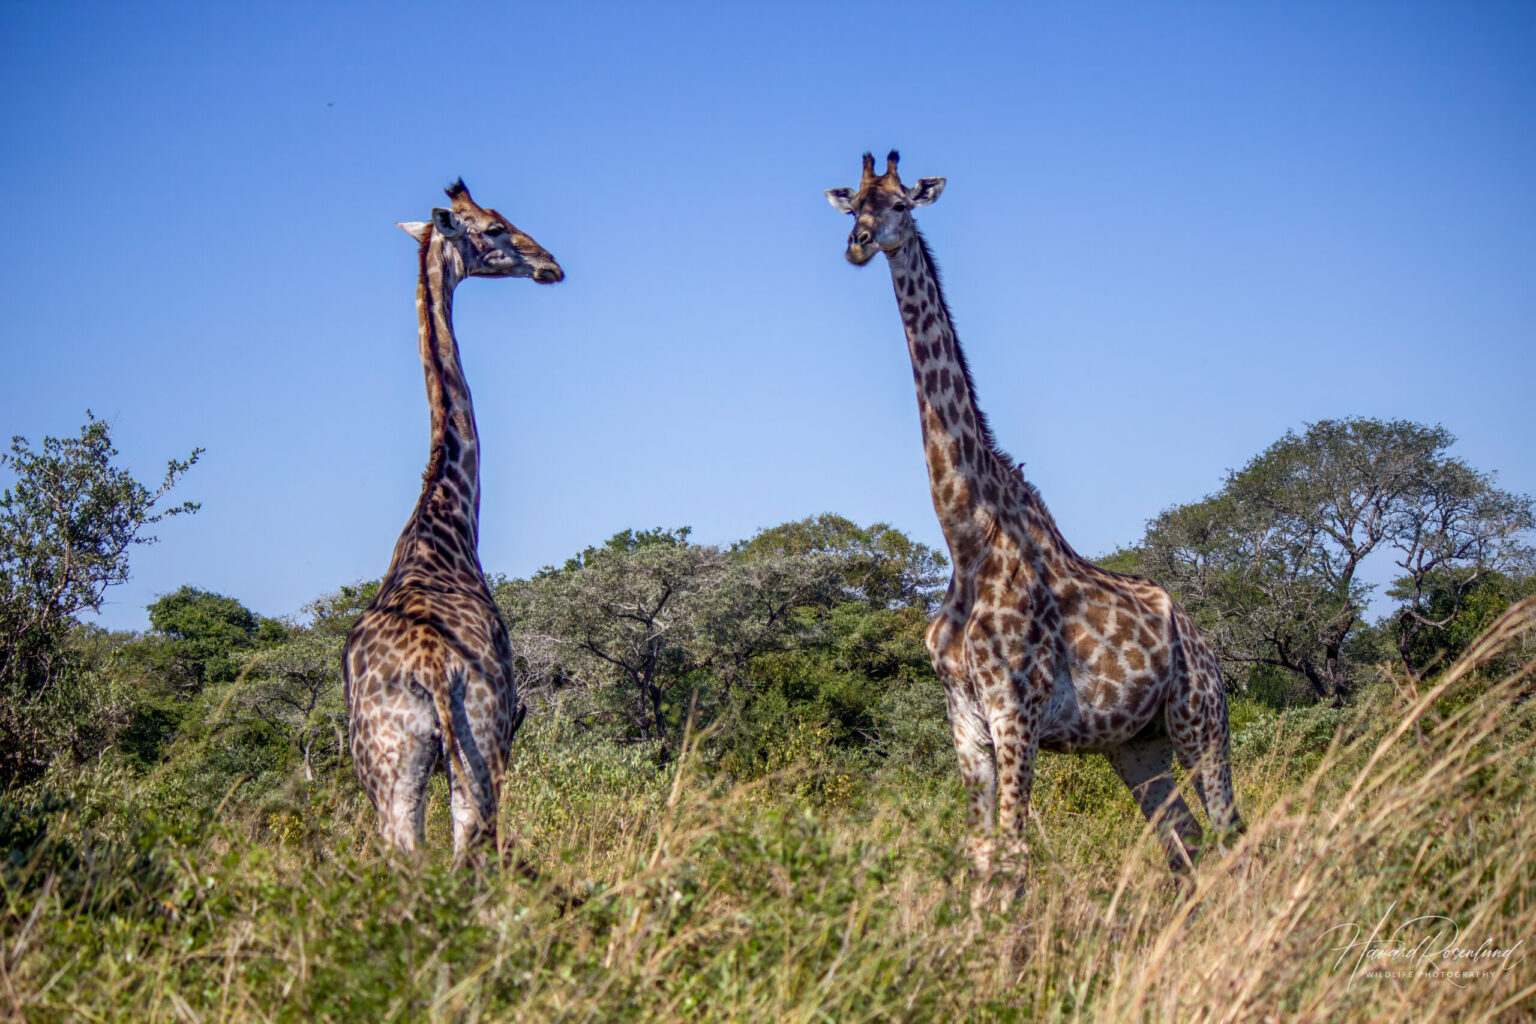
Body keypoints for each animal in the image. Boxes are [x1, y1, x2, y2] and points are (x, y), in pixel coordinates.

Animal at [343, 179, 562, 858]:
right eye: (492, 228)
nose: (550, 265)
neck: (445, 518)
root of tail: (434, 670)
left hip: (395, 767)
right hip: (480, 747)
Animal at [826, 151, 1242, 879]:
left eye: (901, 204)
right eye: (854, 206)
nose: (858, 244)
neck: (967, 537)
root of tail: (1200, 636)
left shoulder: (1015, 711)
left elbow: (1015, 859)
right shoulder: (965, 719)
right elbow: (979, 853)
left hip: (1201, 720)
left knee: (1228, 833)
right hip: (1136, 743)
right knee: (1184, 843)